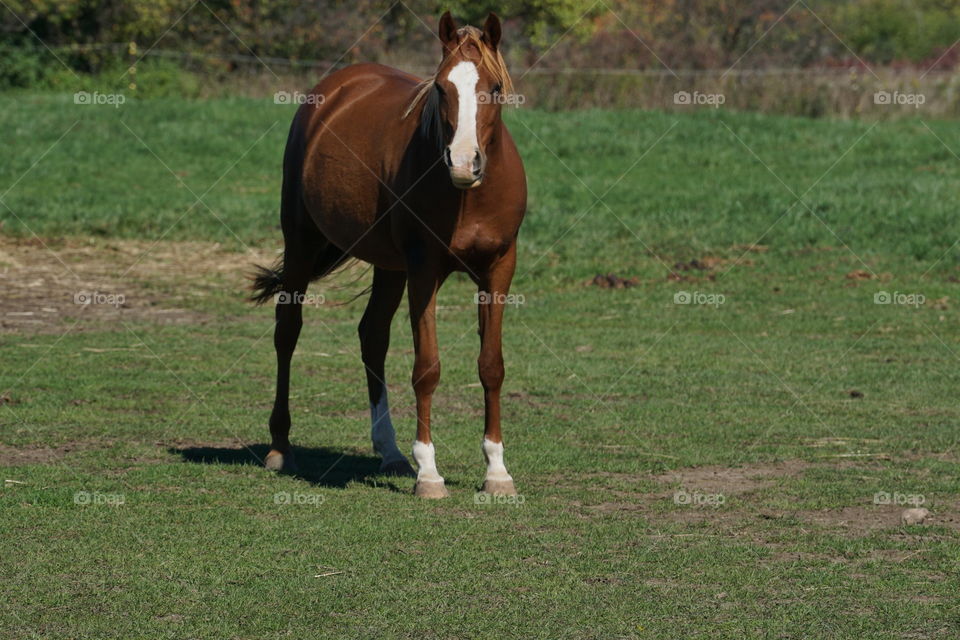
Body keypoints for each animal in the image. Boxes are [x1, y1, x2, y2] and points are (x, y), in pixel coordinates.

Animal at [251, 12, 528, 498]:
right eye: (441, 88)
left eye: (494, 88)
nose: (463, 163)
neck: (469, 196)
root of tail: (335, 89)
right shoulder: (425, 269)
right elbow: (427, 368)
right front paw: (430, 474)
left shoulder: (498, 268)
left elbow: (491, 366)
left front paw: (497, 472)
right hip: (301, 242)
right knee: (288, 332)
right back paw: (280, 448)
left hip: (389, 267)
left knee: (372, 336)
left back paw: (391, 452)